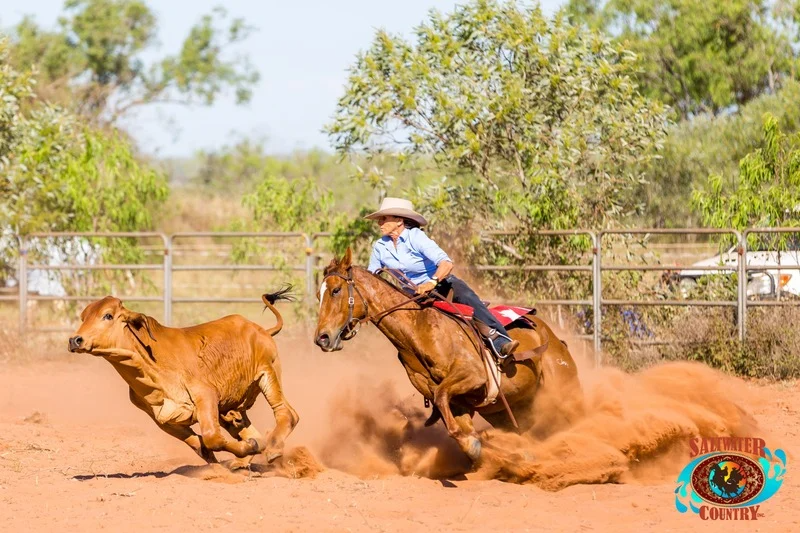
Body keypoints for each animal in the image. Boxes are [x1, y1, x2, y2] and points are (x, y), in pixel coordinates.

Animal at [67, 287, 299, 468]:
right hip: (232, 409)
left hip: (268, 373)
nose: (75, 340)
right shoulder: (163, 419)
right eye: (83, 317)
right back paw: (244, 460)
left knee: (287, 413)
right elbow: (200, 445)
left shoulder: (206, 396)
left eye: (107, 315)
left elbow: (211, 437)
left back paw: (273, 450)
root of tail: (261, 329)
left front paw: (246, 449)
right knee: (254, 430)